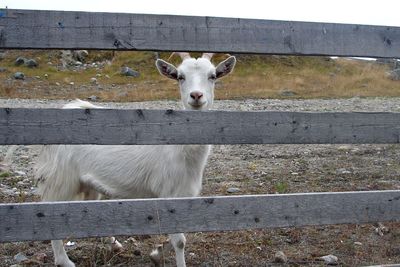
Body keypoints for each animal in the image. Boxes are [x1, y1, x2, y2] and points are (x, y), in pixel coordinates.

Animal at [36, 52, 236, 267]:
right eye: (180, 77)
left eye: (213, 76)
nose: (196, 96)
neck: (181, 148)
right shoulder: (170, 193)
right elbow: (180, 241)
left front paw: (156, 253)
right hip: (61, 179)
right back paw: (64, 261)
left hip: (87, 181)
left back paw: (113, 244)